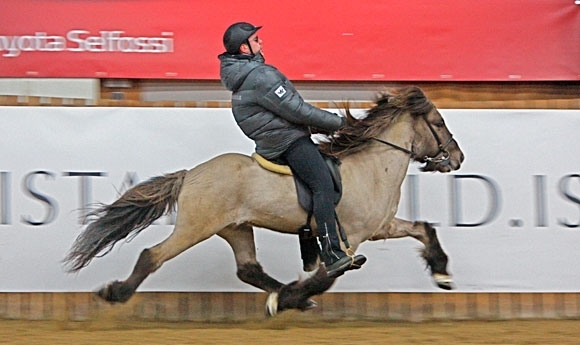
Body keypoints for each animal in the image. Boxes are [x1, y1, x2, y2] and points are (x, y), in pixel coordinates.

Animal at [64, 85, 462, 314]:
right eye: (439, 123)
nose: (457, 158)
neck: (373, 166)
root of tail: (190, 174)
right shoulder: (351, 236)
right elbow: (327, 276)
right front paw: (288, 299)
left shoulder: (380, 227)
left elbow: (424, 229)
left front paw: (442, 273)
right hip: (195, 227)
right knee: (152, 255)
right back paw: (115, 293)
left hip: (236, 228)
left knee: (248, 269)